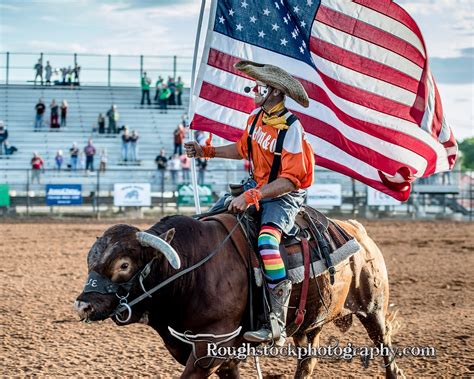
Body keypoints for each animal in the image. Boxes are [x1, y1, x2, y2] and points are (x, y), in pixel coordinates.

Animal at [74, 215, 404, 378]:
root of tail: (358, 231)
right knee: (307, 362)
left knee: (384, 346)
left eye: (124, 265)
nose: (83, 305)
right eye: (90, 259)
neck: (192, 269)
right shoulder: (214, 353)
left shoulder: (210, 349)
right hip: (309, 325)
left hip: (372, 308)